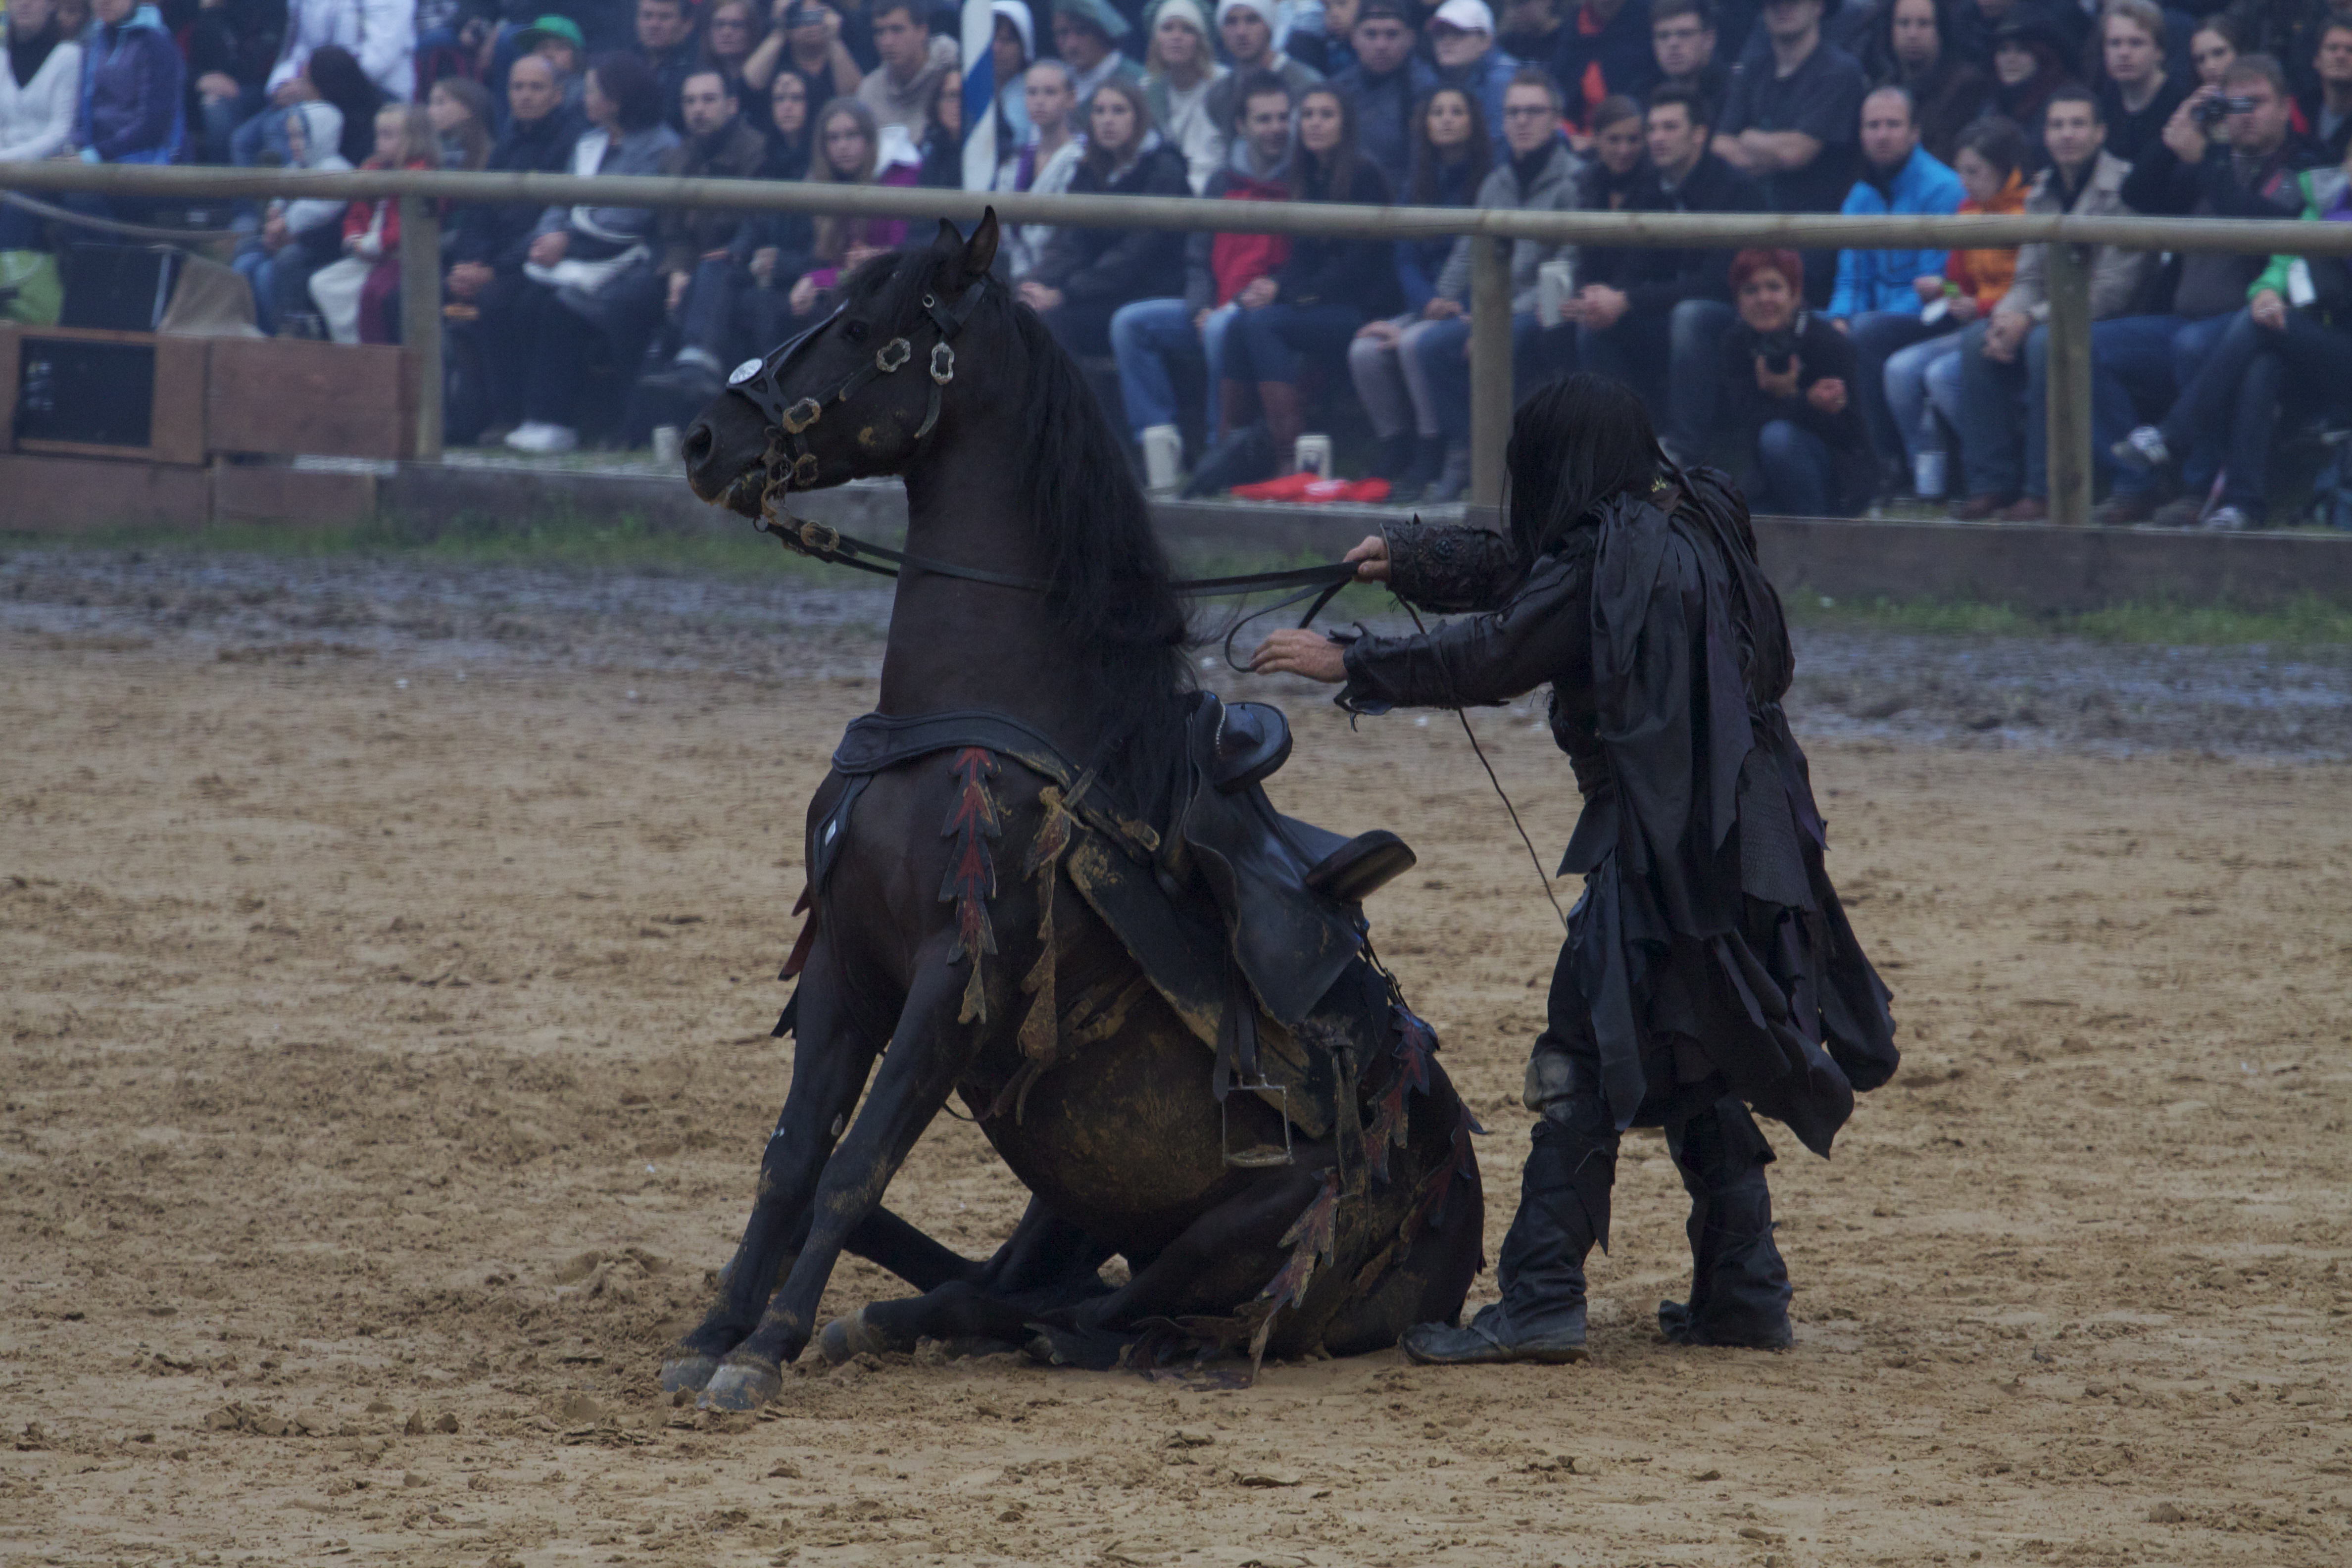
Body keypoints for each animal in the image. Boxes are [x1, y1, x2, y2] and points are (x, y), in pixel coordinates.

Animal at [668, 212, 1483, 1411]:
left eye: (861, 328)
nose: (704, 441)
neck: (974, 712)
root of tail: (1456, 1228)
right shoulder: (844, 969)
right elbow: (791, 1158)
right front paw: (714, 1329)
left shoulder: (953, 984)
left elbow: (854, 1165)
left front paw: (764, 1347)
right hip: (1072, 1194)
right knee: (1016, 1283)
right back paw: (895, 1316)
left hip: (1239, 1232)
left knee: (1095, 1312)